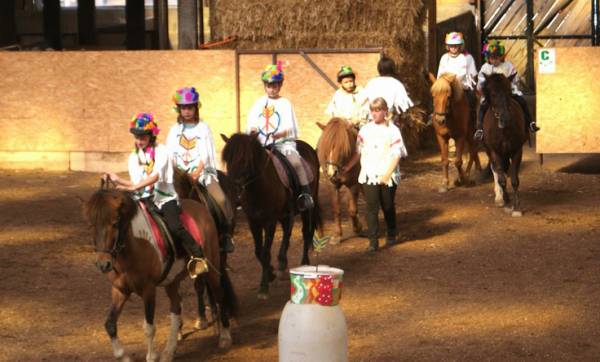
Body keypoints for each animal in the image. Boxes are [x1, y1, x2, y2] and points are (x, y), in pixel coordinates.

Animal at [85, 182, 236, 360]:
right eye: (92, 225)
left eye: (115, 223)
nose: (104, 264)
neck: (134, 247)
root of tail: (199, 207)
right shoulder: (120, 290)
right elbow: (109, 324)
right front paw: (123, 356)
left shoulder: (148, 289)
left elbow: (149, 327)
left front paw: (151, 357)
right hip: (172, 281)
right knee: (176, 308)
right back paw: (170, 350)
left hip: (212, 268)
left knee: (219, 295)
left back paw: (225, 337)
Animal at [221, 134, 324, 300]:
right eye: (227, 159)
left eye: (243, 159)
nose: (232, 188)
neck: (259, 187)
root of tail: (308, 147)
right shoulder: (253, 222)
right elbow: (258, 251)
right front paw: (270, 274)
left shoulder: (270, 221)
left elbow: (265, 252)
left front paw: (264, 287)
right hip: (285, 214)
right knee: (288, 232)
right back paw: (282, 263)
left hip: (307, 207)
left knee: (306, 233)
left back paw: (304, 262)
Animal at [480, 72, 528, 216]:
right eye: (493, 93)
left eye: (509, 92)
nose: (505, 117)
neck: (503, 129)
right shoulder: (495, 152)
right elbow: (501, 178)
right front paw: (505, 201)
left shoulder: (517, 150)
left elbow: (514, 179)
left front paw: (516, 208)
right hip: (490, 151)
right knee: (496, 171)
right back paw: (500, 197)